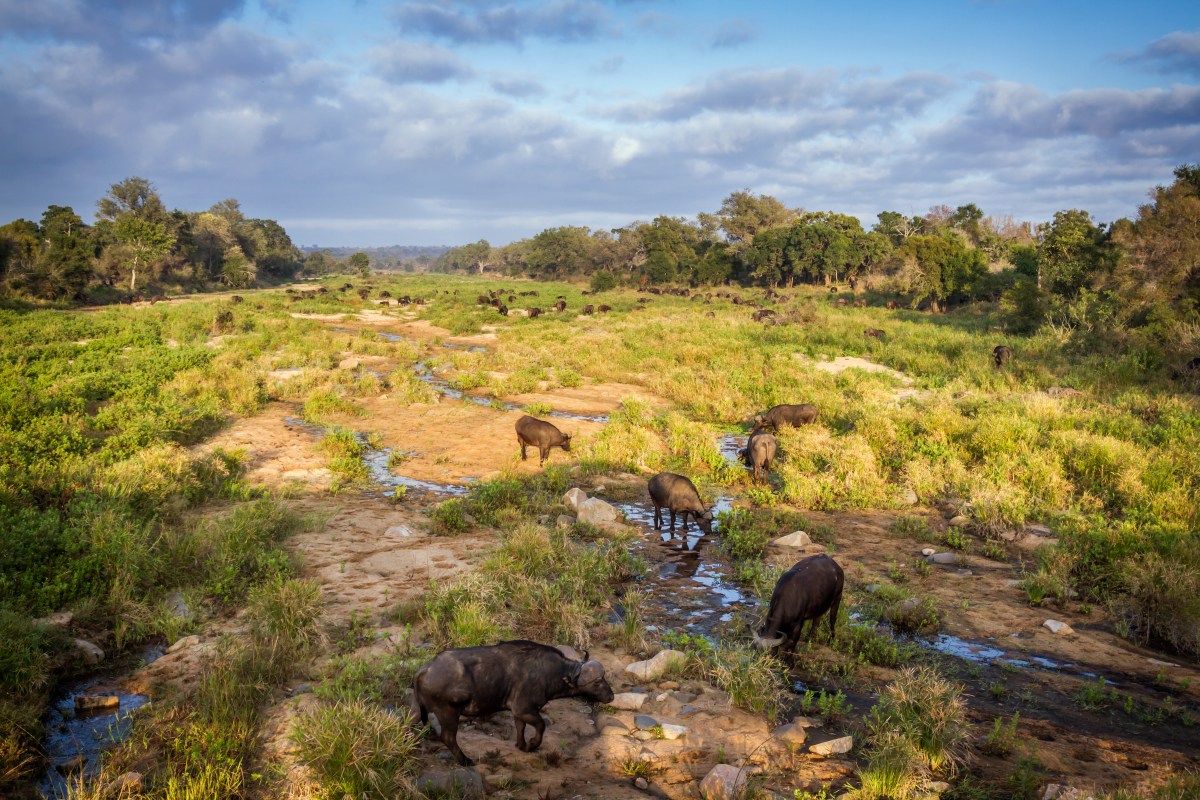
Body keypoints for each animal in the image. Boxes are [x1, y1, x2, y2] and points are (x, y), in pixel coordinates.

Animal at [410, 640, 613, 765]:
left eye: (604, 677)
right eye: (597, 682)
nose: (611, 696)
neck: (550, 671)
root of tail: (425, 669)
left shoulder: (519, 712)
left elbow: (520, 727)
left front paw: (521, 745)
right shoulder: (525, 709)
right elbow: (541, 726)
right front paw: (532, 745)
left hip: (416, 710)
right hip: (449, 713)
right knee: (448, 737)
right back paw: (465, 760)